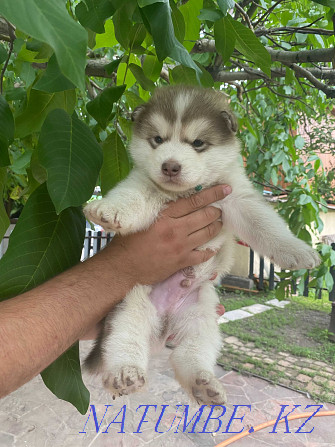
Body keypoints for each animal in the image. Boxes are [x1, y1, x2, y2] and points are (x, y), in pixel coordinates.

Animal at [83, 85, 320, 406]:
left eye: (197, 143)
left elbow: (265, 225)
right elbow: (131, 197)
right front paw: (107, 210)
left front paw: (298, 251)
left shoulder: (237, 197)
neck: (185, 193)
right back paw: (125, 373)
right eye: (158, 139)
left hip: (201, 313)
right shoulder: (142, 184)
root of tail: (165, 323)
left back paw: (203, 383)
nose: (170, 166)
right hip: (129, 302)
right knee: (125, 339)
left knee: (190, 352)